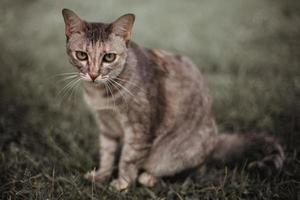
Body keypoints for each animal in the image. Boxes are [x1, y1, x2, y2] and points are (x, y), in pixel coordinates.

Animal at [61, 9, 286, 191]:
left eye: (109, 57)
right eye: (81, 55)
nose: (93, 74)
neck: (101, 95)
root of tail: (214, 143)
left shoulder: (139, 128)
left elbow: (128, 158)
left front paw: (122, 183)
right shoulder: (106, 125)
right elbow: (107, 154)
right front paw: (102, 175)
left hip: (176, 156)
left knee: (195, 171)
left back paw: (149, 177)